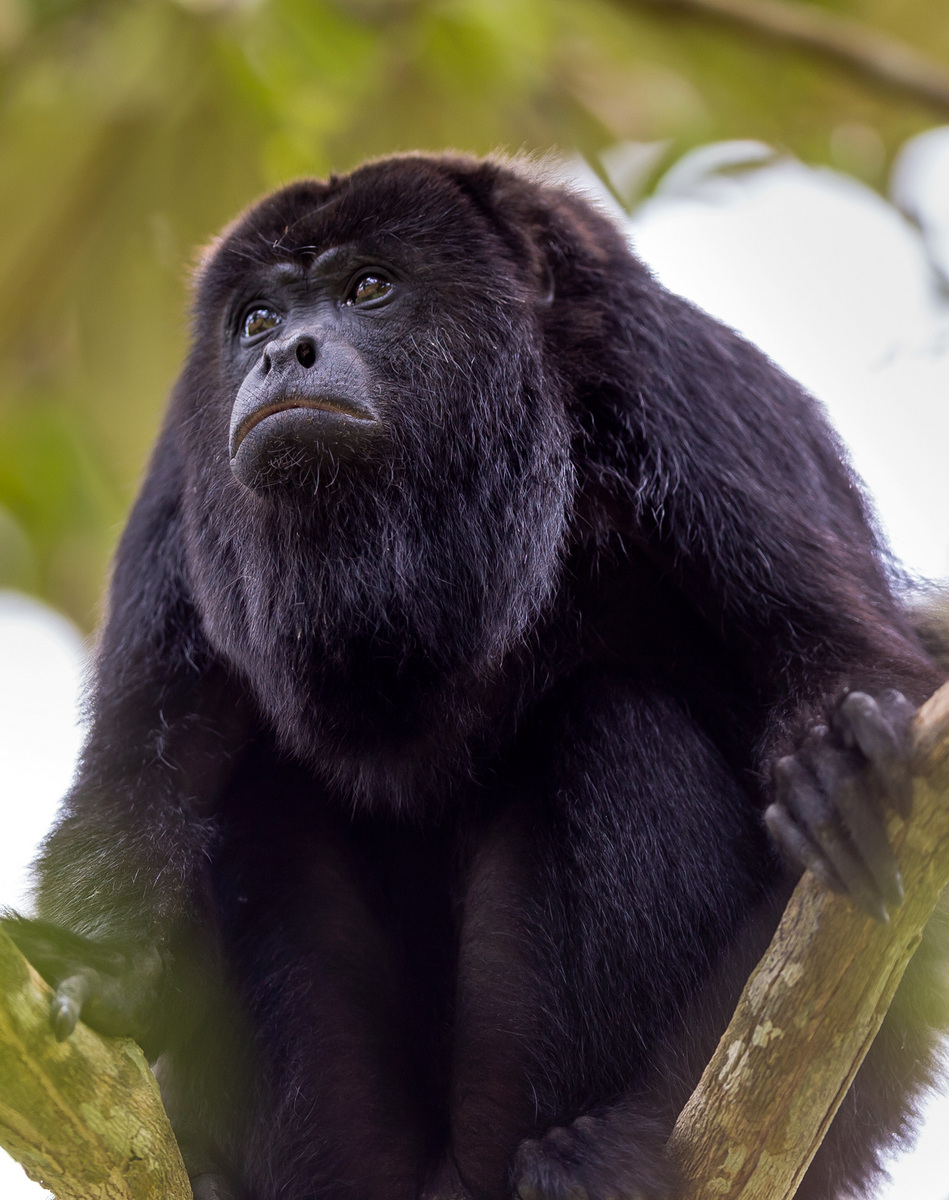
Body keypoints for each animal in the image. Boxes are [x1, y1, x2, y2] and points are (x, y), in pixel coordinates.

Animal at [9, 157, 949, 1200]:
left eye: (367, 287)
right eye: (254, 317)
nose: (284, 351)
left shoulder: (696, 404)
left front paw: (835, 754)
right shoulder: (181, 478)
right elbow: (149, 754)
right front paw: (101, 973)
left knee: (614, 721)